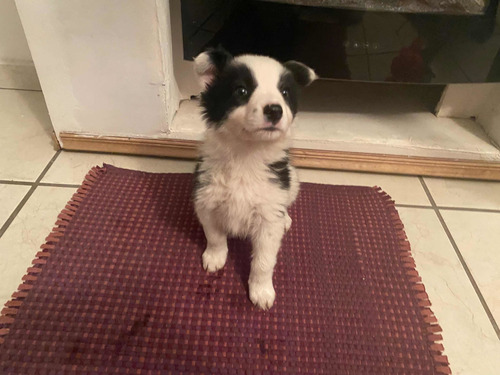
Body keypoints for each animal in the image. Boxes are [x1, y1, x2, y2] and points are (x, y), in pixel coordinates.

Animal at [192, 47, 316, 312]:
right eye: (241, 91)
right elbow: (215, 237)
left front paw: (261, 291)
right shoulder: (205, 200)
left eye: (284, 93)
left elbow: (263, 261)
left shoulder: (269, 217)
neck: (247, 156)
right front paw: (215, 257)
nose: (275, 109)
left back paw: (286, 219)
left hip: (292, 181)